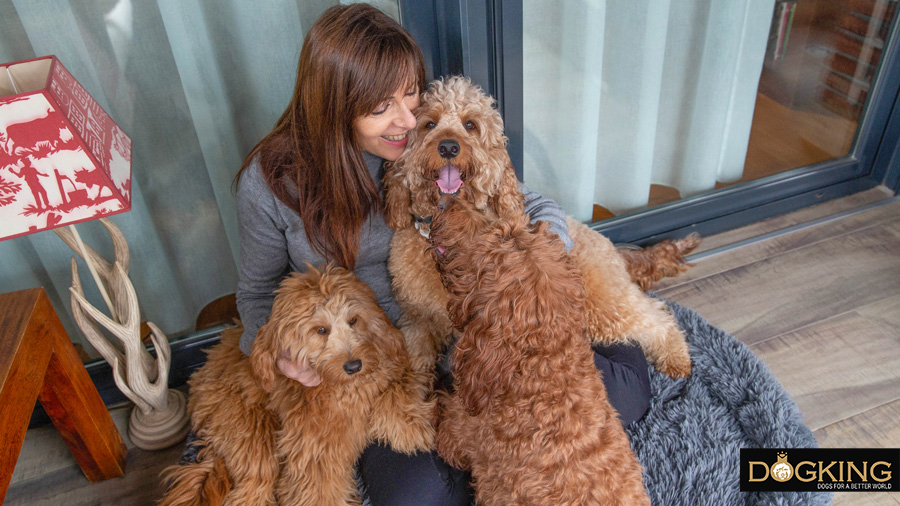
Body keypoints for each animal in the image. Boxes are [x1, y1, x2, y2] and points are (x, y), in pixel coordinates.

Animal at [157, 264, 432, 506]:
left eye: (354, 320)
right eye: (321, 330)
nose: (354, 366)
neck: (343, 387)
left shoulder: (394, 363)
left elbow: (398, 386)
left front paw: (408, 425)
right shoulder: (315, 450)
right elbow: (319, 489)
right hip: (251, 429)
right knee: (252, 488)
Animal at [386, 76, 696, 380]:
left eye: (470, 124)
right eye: (429, 124)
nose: (449, 146)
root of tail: (607, 244)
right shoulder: (418, 319)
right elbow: (414, 362)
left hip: (601, 304)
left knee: (654, 315)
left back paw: (676, 356)